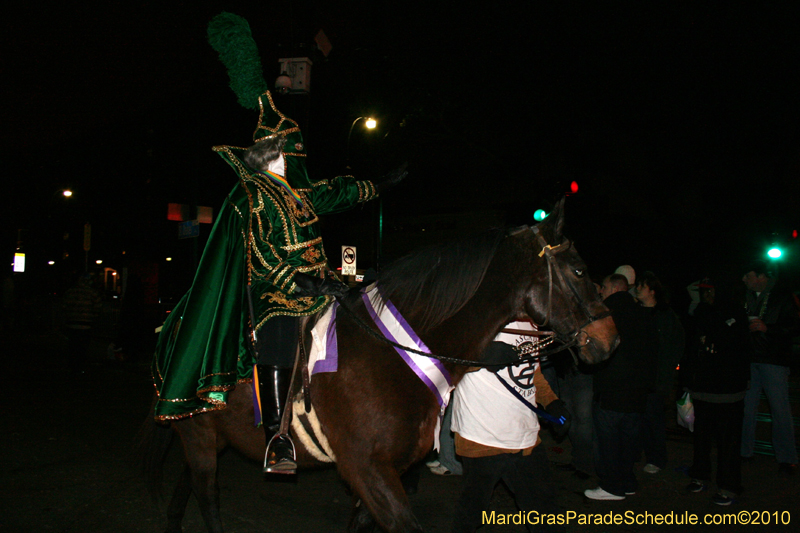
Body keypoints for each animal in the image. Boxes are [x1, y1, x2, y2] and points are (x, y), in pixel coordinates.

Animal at [136, 198, 620, 532]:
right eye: (579, 271)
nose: (609, 340)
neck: (391, 355)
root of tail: (174, 319)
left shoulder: (384, 473)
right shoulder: (369, 471)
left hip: (211, 433)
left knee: (188, 484)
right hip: (199, 432)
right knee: (206, 493)